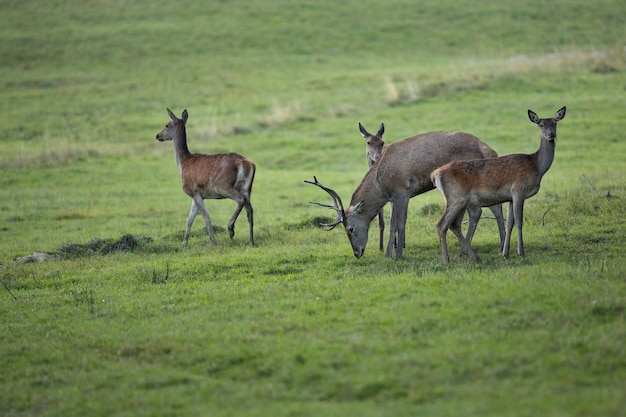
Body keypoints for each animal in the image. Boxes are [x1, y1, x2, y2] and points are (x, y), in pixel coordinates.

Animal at [155, 107, 255, 245]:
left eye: (167, 125)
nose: (157, 135)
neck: (183, 164)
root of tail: (245, 163)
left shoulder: (193, 191)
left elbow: (206, 216)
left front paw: (213, 242)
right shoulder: (196, 195)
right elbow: (189, 219)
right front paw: (184, 243)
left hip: (223, 185)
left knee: (241, 200)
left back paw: (230, 229)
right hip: (247, 187)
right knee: (250, 210)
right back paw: (251, 241)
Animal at [304, 130, 504, 260]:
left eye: (350, 229)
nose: (357, 253)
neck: (380, 183)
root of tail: (488, 149)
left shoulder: (402, 191)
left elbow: (400, 224)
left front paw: (397, 255)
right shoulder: (395, 197)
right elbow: (393, 224)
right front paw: (388, 254)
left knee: (478, 212)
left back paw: (469, 251)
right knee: (495, 208)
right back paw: (500, 247)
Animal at [432, 105, 564, 262]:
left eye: (555, 123)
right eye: (541, 124)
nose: (551, 134)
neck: (536, 167)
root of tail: (435, 174)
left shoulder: (511, 197)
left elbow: (509, 222)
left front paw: (505, 254)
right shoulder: (519, 191)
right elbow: (519, 221)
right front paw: (521, 253)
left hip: (460, 201)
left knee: (454, 225)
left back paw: (475, 257)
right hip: (456, 197)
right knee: (442, 225)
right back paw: (447, 260)